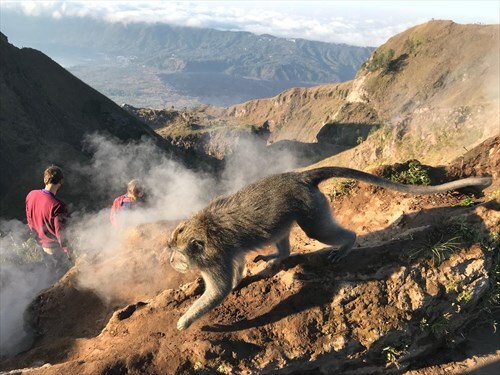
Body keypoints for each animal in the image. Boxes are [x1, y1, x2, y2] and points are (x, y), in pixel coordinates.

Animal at [168, 166, 492, 330]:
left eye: (176, 252)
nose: (170, 261)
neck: (202, 230)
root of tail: (299, 176)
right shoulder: (220, 257)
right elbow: (234, 272)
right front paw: (239, 280)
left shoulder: (213, 258)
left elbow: (220, 289)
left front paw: (185, 320)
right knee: (282, 230)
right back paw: (280, 255)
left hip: (309, 205)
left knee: (316, 230)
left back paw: (346, 243)